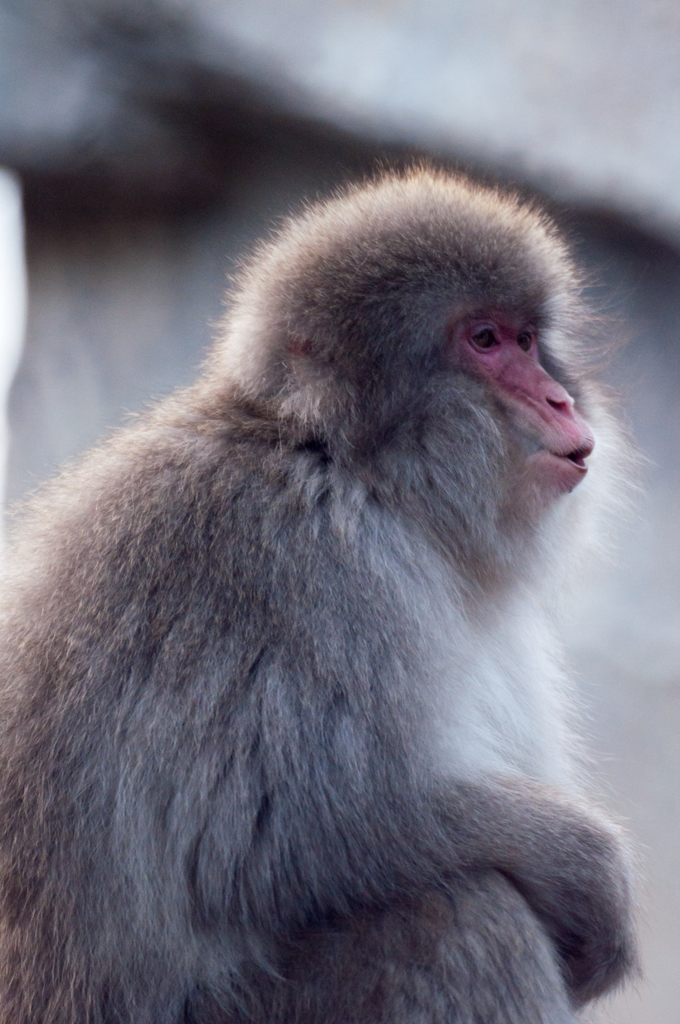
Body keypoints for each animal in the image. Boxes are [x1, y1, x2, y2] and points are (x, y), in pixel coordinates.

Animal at [0, 169, 639, 1024]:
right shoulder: (299, 568)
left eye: (528, 340)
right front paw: (585, 870)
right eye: (484, 341)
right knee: (462, 916)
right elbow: (286, 833)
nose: (560, 402)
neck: (355, 472)